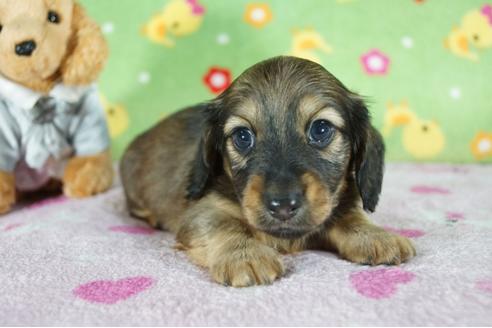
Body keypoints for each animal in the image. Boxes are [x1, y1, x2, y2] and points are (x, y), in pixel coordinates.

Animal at [120, 56, 416, 288]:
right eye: (242, 136)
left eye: (321, 129)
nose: (282, 205)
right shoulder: (203, 211)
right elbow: (226, 225)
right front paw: (245, 256)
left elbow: (348, 217)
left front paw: (376, 236)